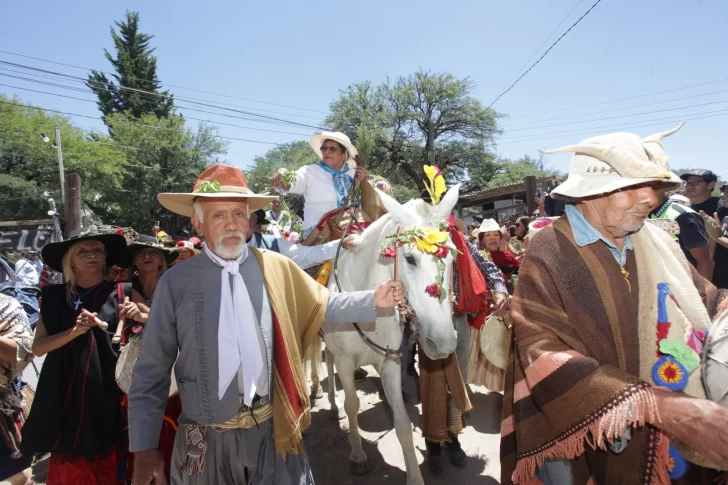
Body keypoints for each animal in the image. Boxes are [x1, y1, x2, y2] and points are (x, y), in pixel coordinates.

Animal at [312, 185, 460, 484]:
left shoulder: (389, 363)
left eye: (451, 256)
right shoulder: (346, 362)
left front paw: (415, 477)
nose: (443, 344)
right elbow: (353, 405)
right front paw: (358, 455)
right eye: (410, 258)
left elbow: (402, 422)